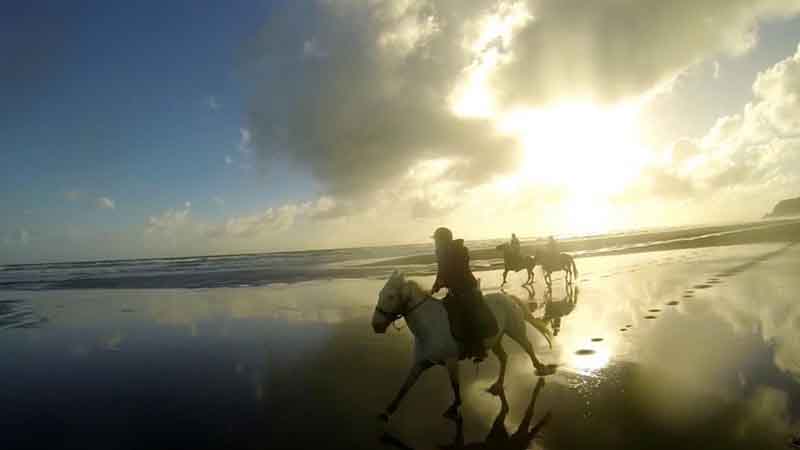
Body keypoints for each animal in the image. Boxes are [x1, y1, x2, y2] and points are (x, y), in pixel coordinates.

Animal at [370, 270, 552, 422]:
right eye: (380, 294)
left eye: (391, 296)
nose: (376, 326)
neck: (429, 326)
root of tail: (507, 298)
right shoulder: (419, 364)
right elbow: (405, 386)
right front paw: (387, 411)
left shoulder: (451, 361)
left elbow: (455, 384)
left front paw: (454, 406)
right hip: (495, 340)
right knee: (504, 358)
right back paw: (498, 384)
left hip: (515, 331)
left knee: (528, 347)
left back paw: (540, 368)